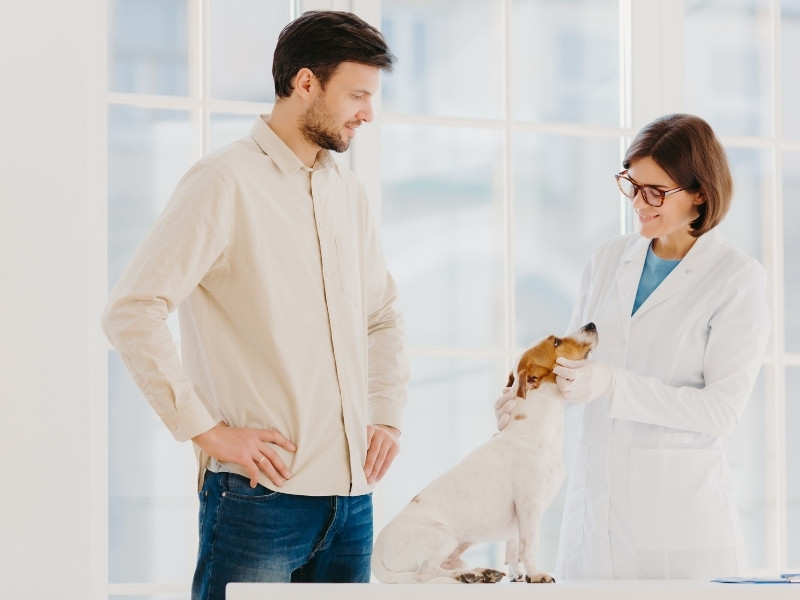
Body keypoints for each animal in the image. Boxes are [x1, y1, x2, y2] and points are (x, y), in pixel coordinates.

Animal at [372, 322, 596, 584]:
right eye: (556, 342)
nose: (591, 324)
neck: (533, 427)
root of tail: (376, 555)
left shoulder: (519, 519)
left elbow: (513, 549)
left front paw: (517, 575)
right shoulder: (529, 507)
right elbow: (529, 547)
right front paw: (536, 574)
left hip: (454, 551)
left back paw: (482, 573)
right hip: (443, 538)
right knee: (425, 573)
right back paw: (469, 575)